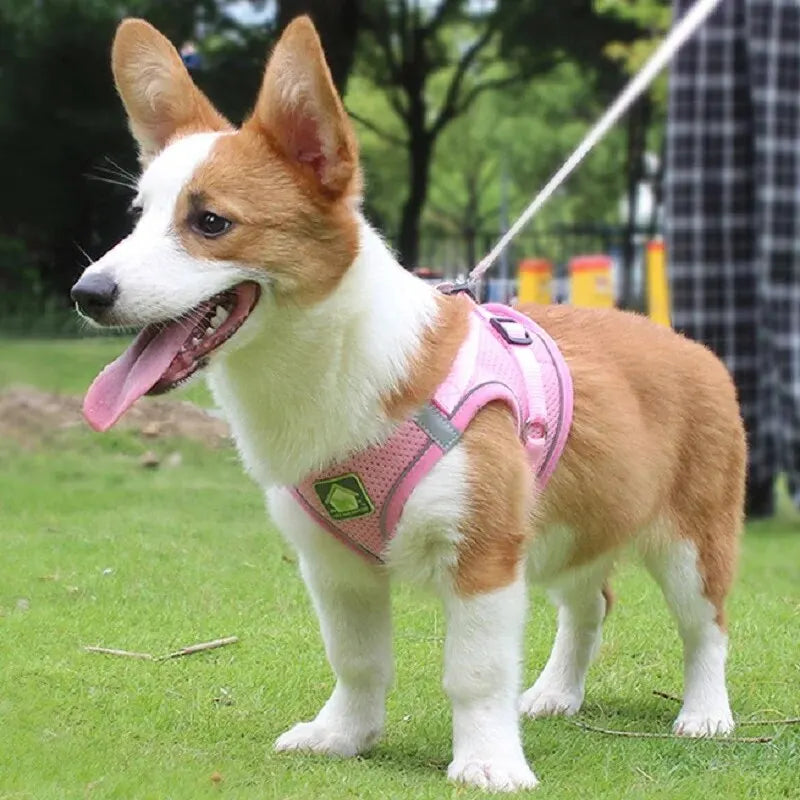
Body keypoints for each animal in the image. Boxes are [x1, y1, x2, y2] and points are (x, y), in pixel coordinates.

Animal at [72, 15, 748, 792]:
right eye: (136, 217)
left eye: (210, 222)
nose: (87, 293)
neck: (330, 366)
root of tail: (691, 346)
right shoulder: (334, 568)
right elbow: (356, 661)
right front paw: (344, 735)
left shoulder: (484, 556)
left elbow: (475, 674)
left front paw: (488, 762)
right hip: (572, 527)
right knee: (590, 603)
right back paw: (555, 694)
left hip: (691, 542)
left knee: (706, 627)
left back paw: (704, 713)